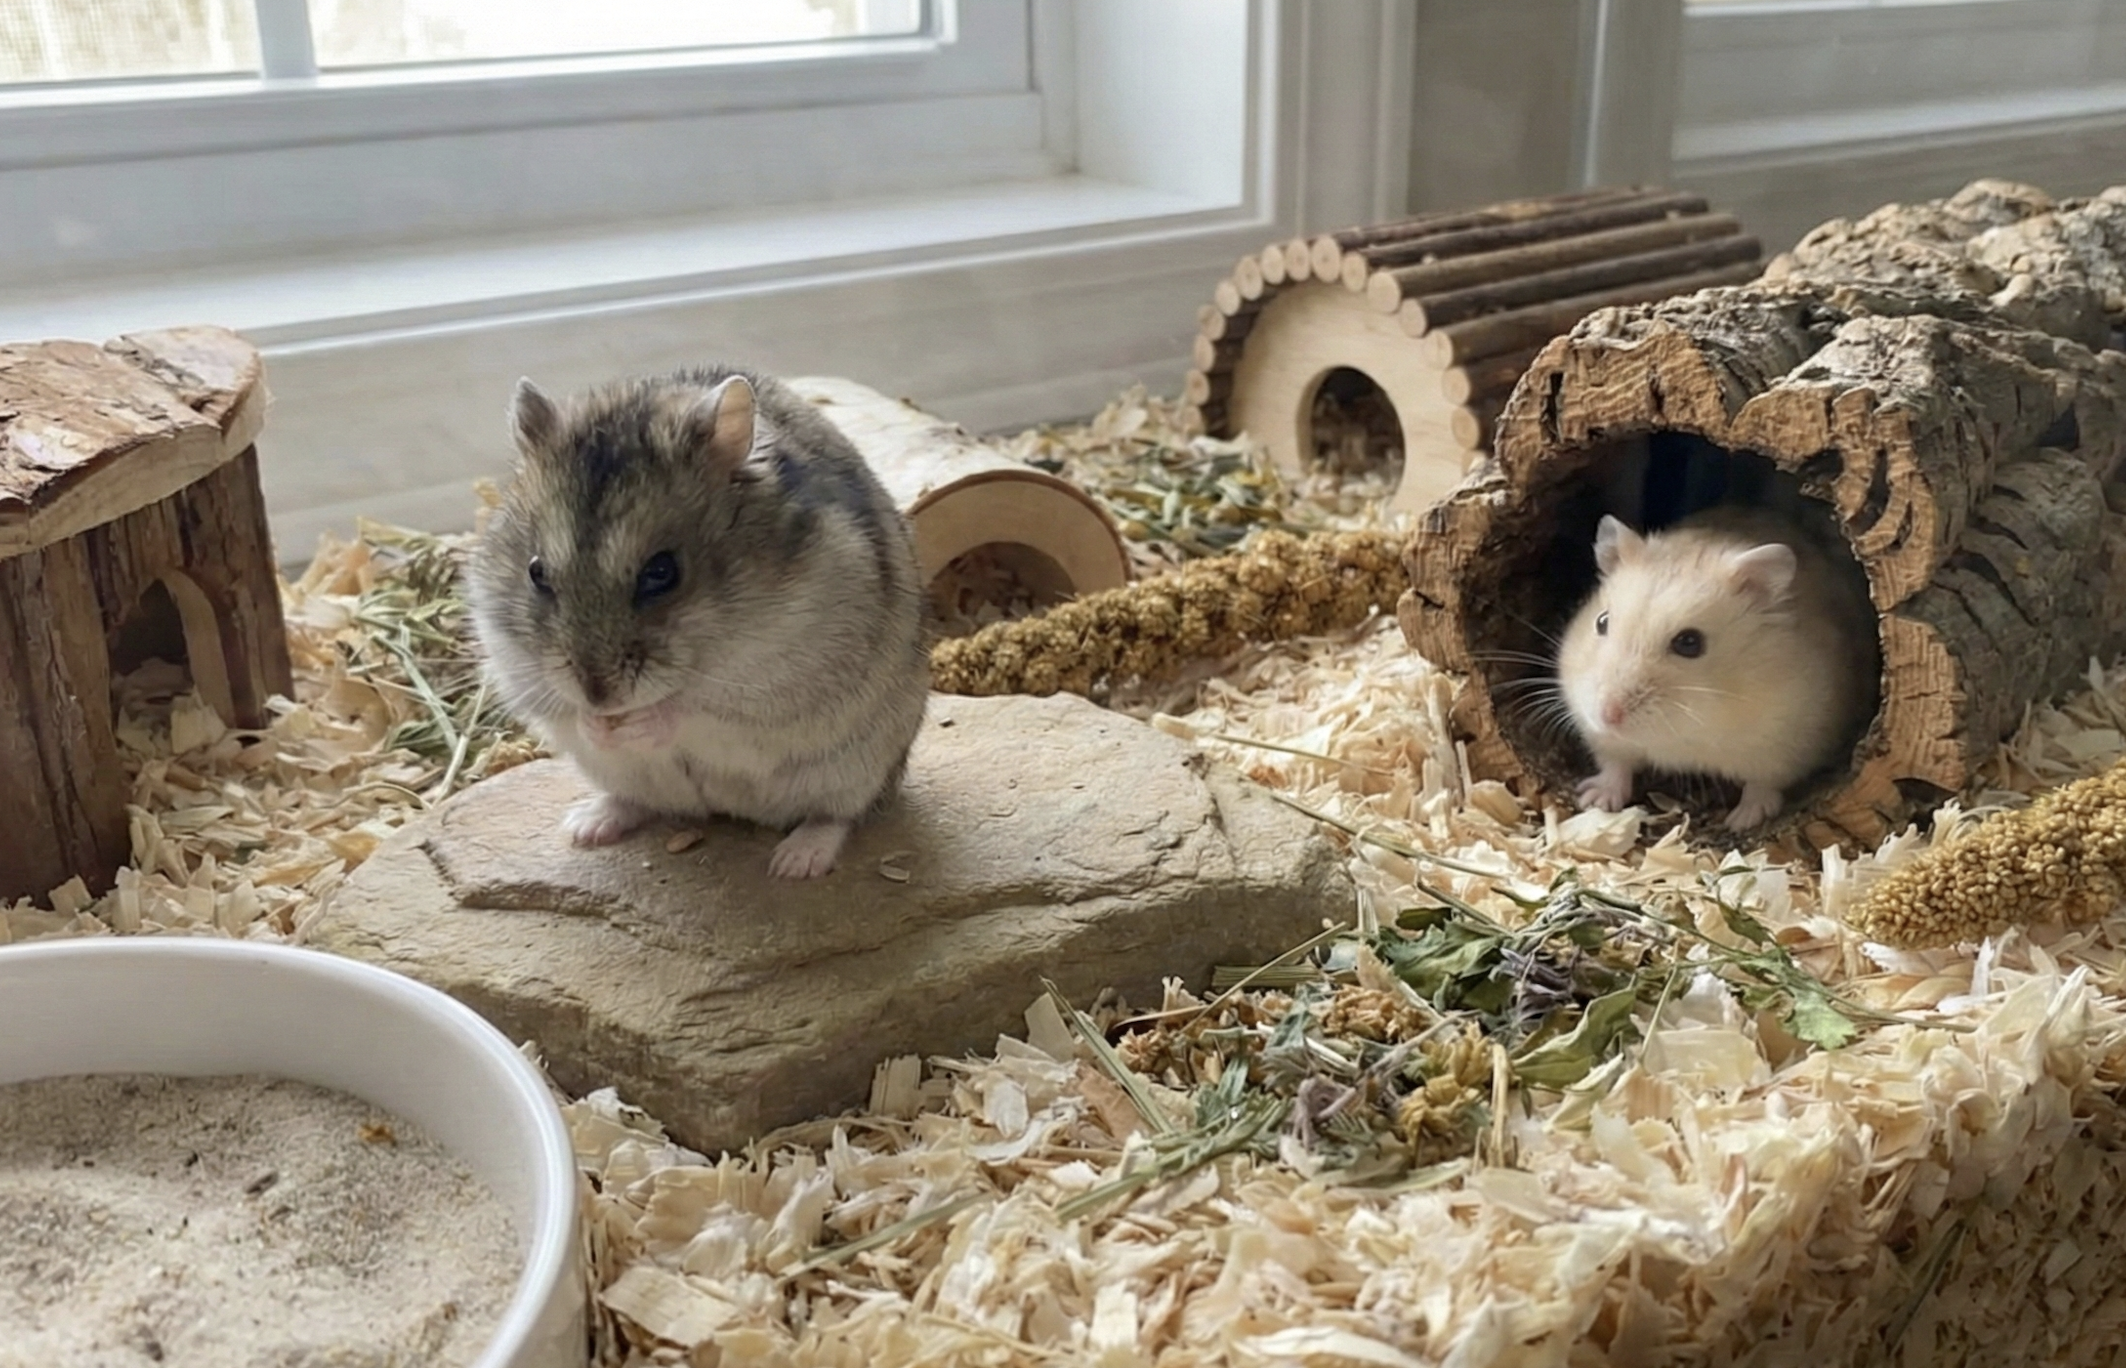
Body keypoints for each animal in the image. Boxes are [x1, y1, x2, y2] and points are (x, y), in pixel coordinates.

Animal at [466, 365, 931, 879]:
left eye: (662, 572)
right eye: (536, 572)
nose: (600, 697)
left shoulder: (771, 696)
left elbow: (688, 712)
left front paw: (631, 721)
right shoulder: (519, 669)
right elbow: (569, 711)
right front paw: (597, 726)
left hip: (856, 769)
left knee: (838, 815)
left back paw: (793, 863)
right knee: (639, 802)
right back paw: (586, 827)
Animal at [1555, 503, 1879, 833]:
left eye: (1689, 642)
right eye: (1601, 622)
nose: (1608, 716)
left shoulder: (1788, 740)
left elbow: (1763, 785)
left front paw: (1741, 821)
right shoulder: (1607, 741)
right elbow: (1615, 765)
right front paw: (1595, 800)